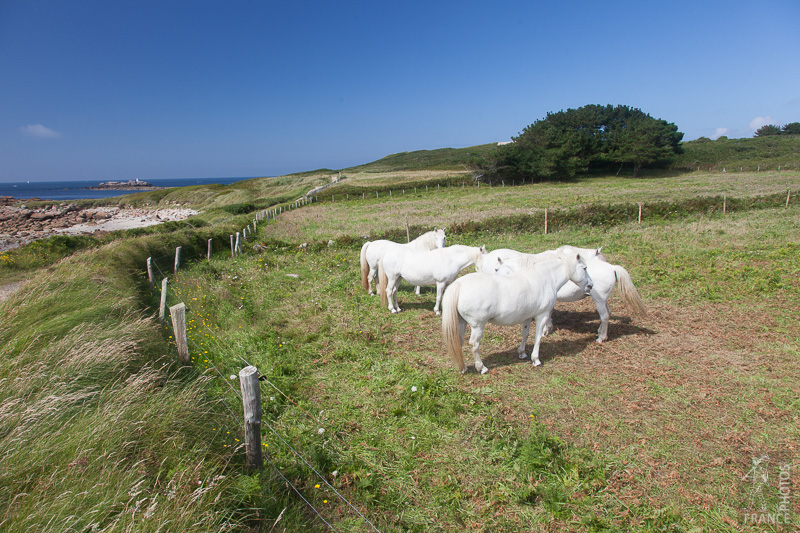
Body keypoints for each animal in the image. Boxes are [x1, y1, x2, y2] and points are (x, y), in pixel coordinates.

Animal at [440, 251, 592, 372]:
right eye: (584, 268)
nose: (590, 285)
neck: (545, 278)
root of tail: (459, 285)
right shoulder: (541, 316)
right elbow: (538, 337)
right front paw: (536, 360)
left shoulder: (528, 317)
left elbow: (525, 333)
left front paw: (522, 353)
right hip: (477, 326)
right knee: (474, 345)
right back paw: (481, 368)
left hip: (461, 322)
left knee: (458, 342)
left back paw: (463, 368)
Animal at [478, 244, 648, 340]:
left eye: (496, 270)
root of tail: (612, 268)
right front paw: (548, 329)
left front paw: (545, 331)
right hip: (602, 300)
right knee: (607, 314)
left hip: (599, 300)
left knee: (605, 316)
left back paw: (601, 337)